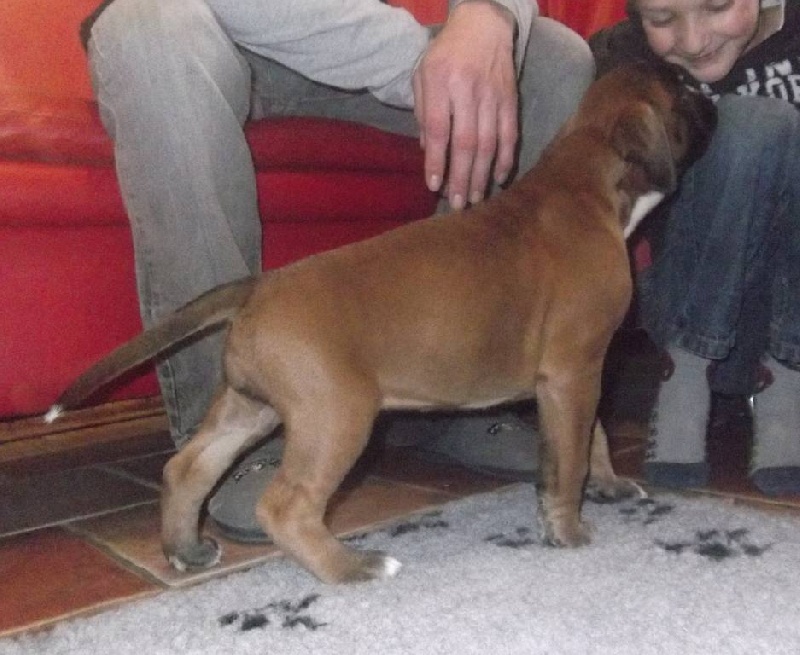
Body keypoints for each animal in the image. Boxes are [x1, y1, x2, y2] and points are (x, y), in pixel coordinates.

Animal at [46, 62, 716, 584]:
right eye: (682, 85)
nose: (713, 89)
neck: (587, 180)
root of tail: (262, 285)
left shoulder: (581, 375)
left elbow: (594, 435)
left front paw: (608, 486)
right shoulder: (575, 372)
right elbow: (570, 456)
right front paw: (570, 529)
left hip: (251, 408)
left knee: (188, 468)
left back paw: (186, 549)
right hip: (336, 417)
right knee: (284, 505)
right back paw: (354, 568)